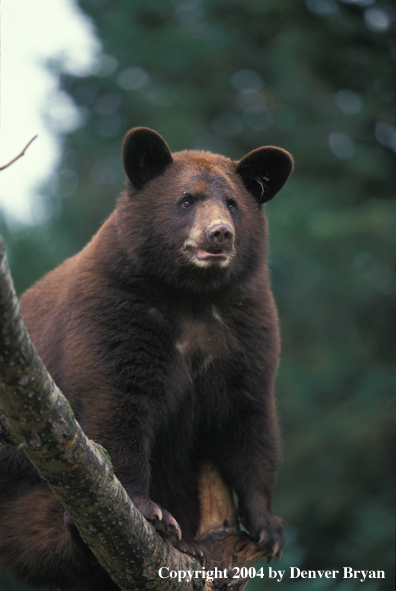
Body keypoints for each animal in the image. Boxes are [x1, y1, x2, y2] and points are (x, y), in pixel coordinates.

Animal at [0, 127, 294, 588]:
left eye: (233, 203)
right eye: (186, 199)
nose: (219, 234)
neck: (192, 298)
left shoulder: (245, 328)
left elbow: (248, 417)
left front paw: (267, 526)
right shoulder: (117, 312)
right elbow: (118, 404)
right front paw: (149, 510)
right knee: (37, 534)